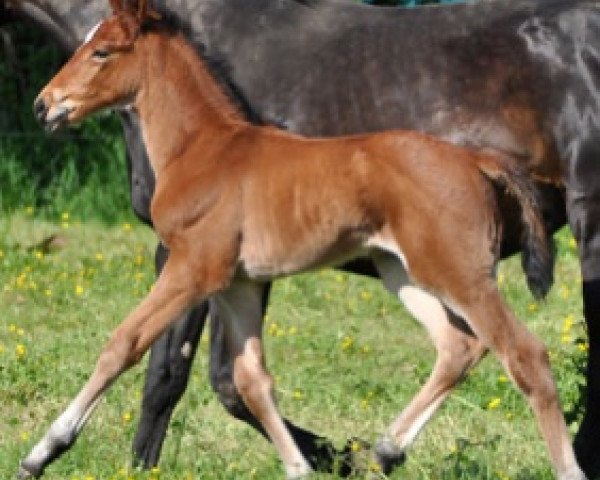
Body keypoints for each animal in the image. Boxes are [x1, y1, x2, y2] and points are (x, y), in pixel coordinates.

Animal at [7, 0, 600, 478]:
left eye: (102, 51)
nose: (43, 104)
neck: (206, 147)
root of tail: (476, 160)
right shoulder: (237, 284)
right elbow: (248, 380)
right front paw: (301, 467)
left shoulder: (191, 267)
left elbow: (125, 347)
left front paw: (41, 454)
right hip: (402, 272)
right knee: (460, 347)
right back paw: (384, 450)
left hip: (462, 272)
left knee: (525, 355)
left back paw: (567, 467)